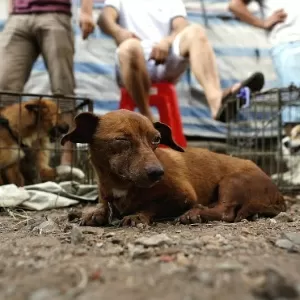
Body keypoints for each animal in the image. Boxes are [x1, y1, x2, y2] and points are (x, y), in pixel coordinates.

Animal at [61, 109, 286, 226]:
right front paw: (94, 212)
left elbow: (153, 206)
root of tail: (278, 195)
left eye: (156, 139)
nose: (158, 173)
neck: (121, 185)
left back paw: (196, 213)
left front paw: (138, 215)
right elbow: (104, 204)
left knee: (226, 212)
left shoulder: (184, 197)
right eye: (122, 140)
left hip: (231, 181)